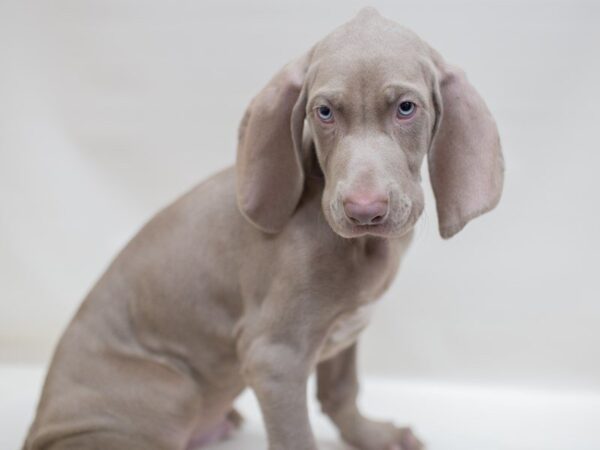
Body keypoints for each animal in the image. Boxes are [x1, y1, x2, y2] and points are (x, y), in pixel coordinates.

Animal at [22, 7, 502, 450]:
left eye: (406, 108)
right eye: (324, 112)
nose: (364, 211)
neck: (361, 247)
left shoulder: (347, 325)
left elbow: (342, 391)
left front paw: (373, 436)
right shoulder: (274, 359)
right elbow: (296, 436)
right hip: (170, 389)